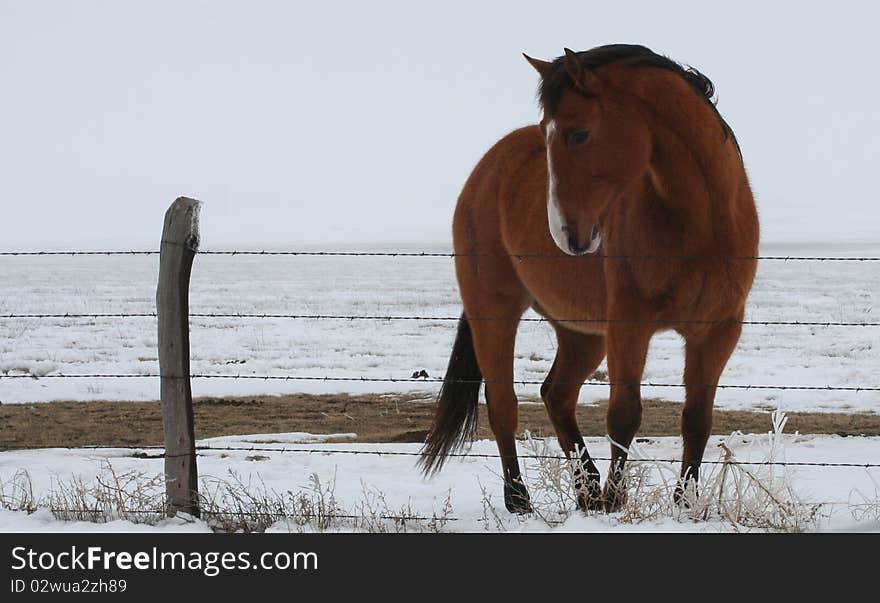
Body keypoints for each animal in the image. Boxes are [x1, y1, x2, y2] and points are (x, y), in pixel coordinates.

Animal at [420, 43, 756, 516]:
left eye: (578, 134)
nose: (564, 233)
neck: (699, 223)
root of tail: (487, 168)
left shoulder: (718, 331)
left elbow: (697, 419)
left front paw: (684, 506)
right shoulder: (629, 326)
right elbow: (624, 414)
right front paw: (617, 501)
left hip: (582, 334)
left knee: (556, 394)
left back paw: (587, 491)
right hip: (495, 311)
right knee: (503, 404)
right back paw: (521, 500)